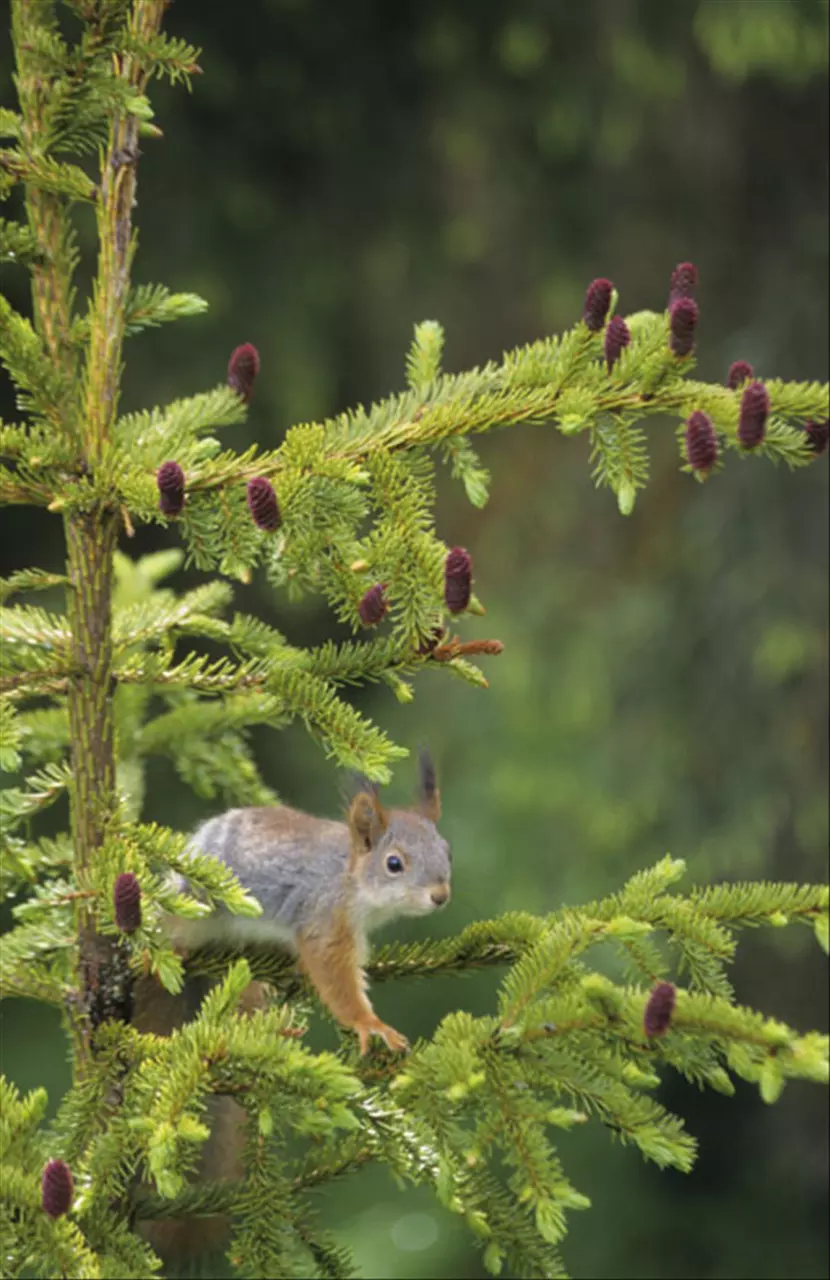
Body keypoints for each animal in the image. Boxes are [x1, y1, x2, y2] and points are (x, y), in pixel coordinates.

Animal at [133, 747, 450, 1259]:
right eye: (395, 864)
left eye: (447, 852)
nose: (440, 896)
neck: (350, 875)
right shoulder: (324, 918)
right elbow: (335, 976)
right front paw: (369, 1024)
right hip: (191, 908)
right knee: (169, 931)